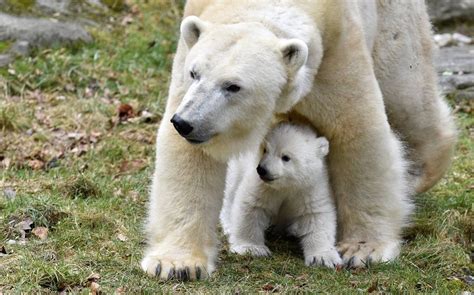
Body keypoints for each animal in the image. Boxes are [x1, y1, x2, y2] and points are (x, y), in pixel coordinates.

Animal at [222, 121, 340, 270]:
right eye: (265, 150)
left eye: (285, 157)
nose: (262, 169)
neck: (286, 185)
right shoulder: (263, 186)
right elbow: (251, 206)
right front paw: (252, 248)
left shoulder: (310, 187)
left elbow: (316, 215)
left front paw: (323, 258)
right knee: (231, 190)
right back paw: (228, 225)